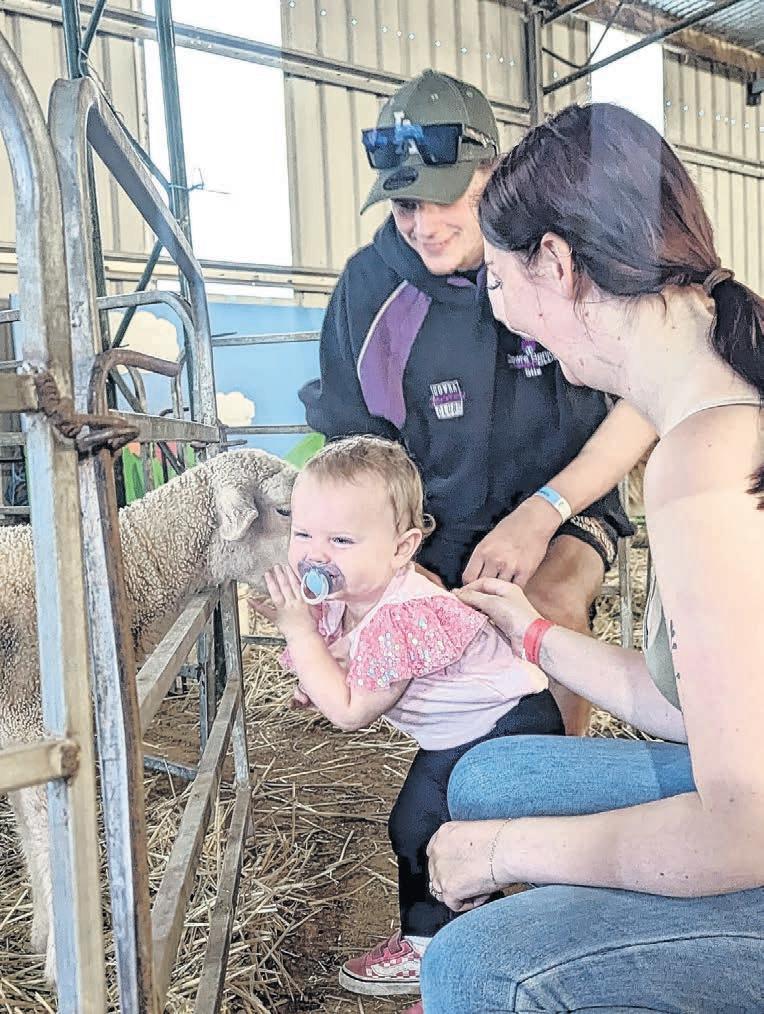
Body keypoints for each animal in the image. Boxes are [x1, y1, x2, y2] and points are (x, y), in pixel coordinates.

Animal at [0, 447, 296, 983]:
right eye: (285, 508)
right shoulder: (36, 734)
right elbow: (48, 847)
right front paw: (58, 961)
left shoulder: (18, 741)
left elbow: (31, 842)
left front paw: (38, 935)